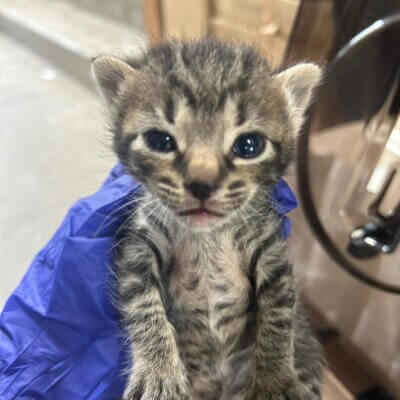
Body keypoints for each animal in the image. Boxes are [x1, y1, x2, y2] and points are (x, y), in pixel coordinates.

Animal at [93, 38, 322, 400]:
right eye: (160, 141)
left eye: (249, 145)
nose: (202, 184)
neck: (207, 237)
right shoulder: (138, 247)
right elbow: (141, 305)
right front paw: (158, 374)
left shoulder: (272, 252)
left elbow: (279, 314)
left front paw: (274, 380)